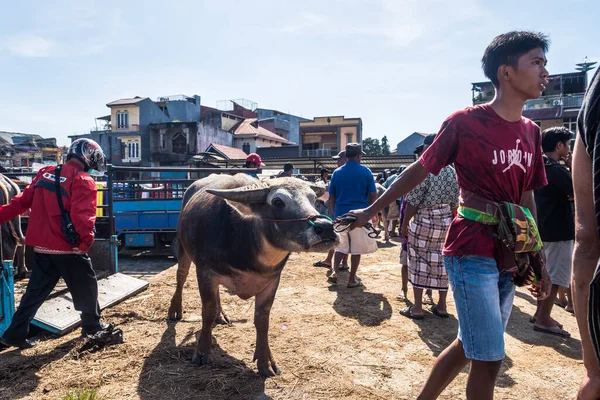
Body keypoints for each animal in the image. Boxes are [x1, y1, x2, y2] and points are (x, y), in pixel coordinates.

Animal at [168, 173, 338, 376]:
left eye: (313, 199)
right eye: (278, 202)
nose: (326, 228)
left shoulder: (272, 281)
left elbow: (262, 319)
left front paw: (266, 361)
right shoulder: (205, 273)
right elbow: (207, 312)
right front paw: (202, 352)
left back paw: (221, 315)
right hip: (182, 248)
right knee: (181, 277)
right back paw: (175, 310)